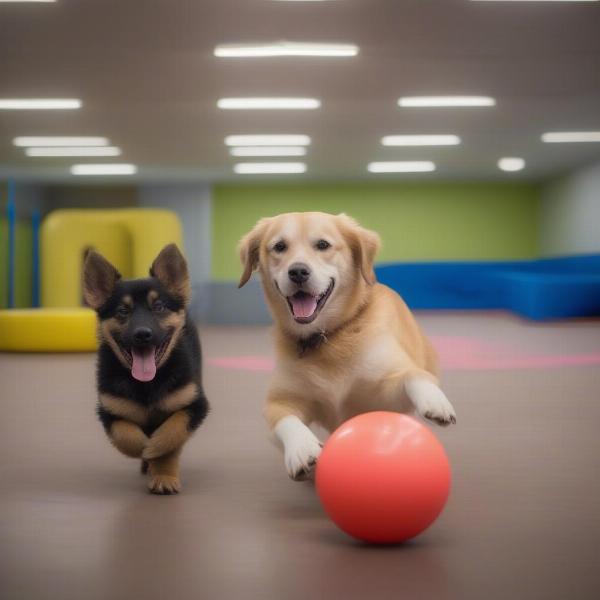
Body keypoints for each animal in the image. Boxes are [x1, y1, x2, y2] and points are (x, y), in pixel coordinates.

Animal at [82, 241, 209, 494]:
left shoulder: (195, 404)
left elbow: (171, 434)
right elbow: (125, 435)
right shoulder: (109, 410)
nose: (142, 334)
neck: (148, 383)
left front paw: (161, 468)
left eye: (158, 307)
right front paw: (144, 448)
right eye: (122, 311)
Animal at [238, 213, 454, 480]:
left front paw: (435, 401)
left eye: (323, 245)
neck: (328, 338)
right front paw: (301, 447)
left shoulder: (385, 397)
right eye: (279, 246)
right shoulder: (279, 401)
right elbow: (286, 420)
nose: (298, 271)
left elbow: (412, 375)